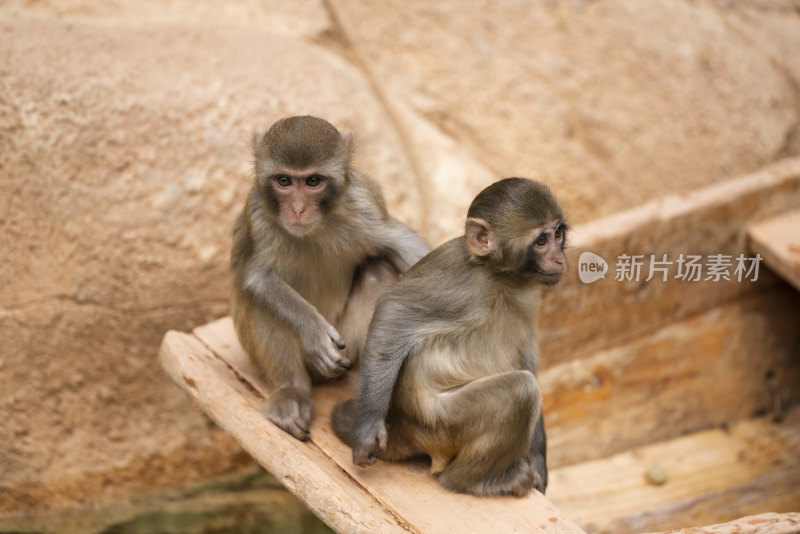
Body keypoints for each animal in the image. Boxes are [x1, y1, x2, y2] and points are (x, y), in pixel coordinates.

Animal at [231, 116, 432, 444]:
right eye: (284, 181)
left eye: (313, 181)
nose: (298, 209)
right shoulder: (258, 215)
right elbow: (257, 279)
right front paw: (313, 332)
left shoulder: (362, 206)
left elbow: (403, 246)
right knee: (260, 302)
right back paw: (292, 389)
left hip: (348, 348)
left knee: (377, 271)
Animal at [332, 178, 568, 496]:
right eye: (541, 241)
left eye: (558, 234)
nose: (559, 257)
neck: (501, 276)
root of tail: (406, 428)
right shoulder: (464, 287)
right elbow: (394, 310)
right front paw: (367, 429)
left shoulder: (528, 301)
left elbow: (527, 356)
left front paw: (539, 461)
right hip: (440, 424)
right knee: (522, 390)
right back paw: (467, 481)